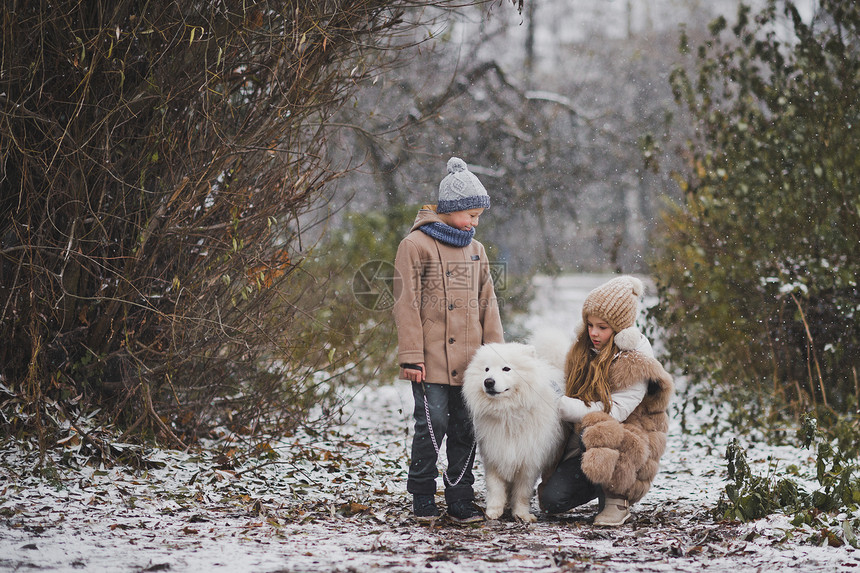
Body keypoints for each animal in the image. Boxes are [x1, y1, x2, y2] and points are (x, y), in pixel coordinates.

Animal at [460, 342, 568, 520]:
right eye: (486, 369)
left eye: (506, 369)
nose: (488, 382)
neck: (508, 414)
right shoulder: (494, 454)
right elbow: (495, 486)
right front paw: (493, 511)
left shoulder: (529, 461)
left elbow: (523, 492)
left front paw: (521, 514)